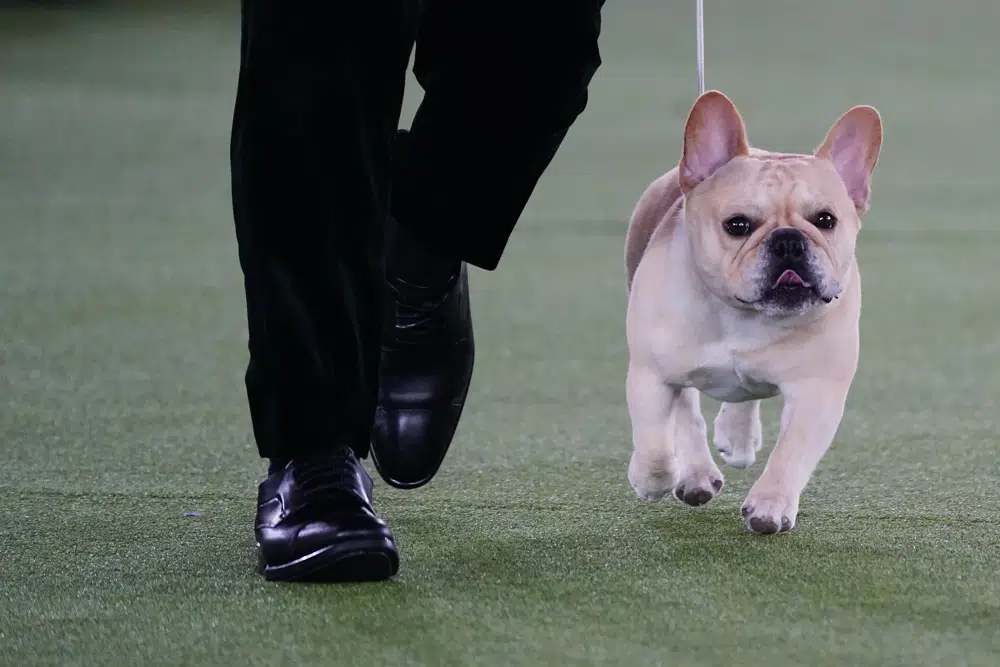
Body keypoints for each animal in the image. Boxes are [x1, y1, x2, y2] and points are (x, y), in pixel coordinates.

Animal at [624, 91, 884, 536]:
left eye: (826, 220)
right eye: (738, 225)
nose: (789, 241)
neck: (744, 316)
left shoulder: (817, 392)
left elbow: (790, 455)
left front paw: (770, 506)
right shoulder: (650, 374)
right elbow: (656, 442)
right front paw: (650, 479)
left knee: (743, 395)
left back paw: (738, 436)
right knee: (686, 412)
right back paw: (695, 474)